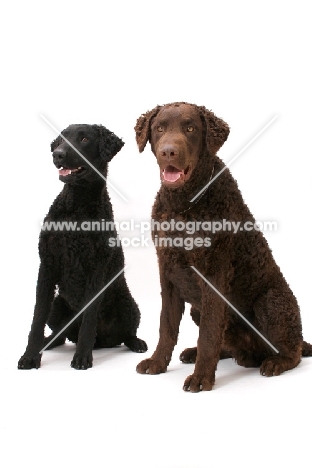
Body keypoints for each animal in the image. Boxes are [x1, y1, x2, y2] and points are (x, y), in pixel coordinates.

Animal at [17, 124, 147, 370]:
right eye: (60, 139)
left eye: (84, 139)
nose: (57, 154)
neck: (76, 207)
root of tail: (103, 342)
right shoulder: (47, 265)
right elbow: (37, 318)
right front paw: (30, 356)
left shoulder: (96, 269)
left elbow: (88, 319)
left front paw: (82, 358)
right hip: (57, 306)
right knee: (60, 335)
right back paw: (49, 343)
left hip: (129, 305)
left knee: (126, 334)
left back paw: (136, 343)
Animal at [135, 101, 312, 392]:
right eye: (159, 128)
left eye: (191, 129)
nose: (168, 151)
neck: (184, 205)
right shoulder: (168, 271)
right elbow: (167, 326)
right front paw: (158, 363)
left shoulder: (214, 273)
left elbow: (209, 333)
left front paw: (201, 378)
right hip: (198, 309)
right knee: (226, 342)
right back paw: (197, 353)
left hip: (271, 302)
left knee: (292, 351)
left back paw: (275, 362)